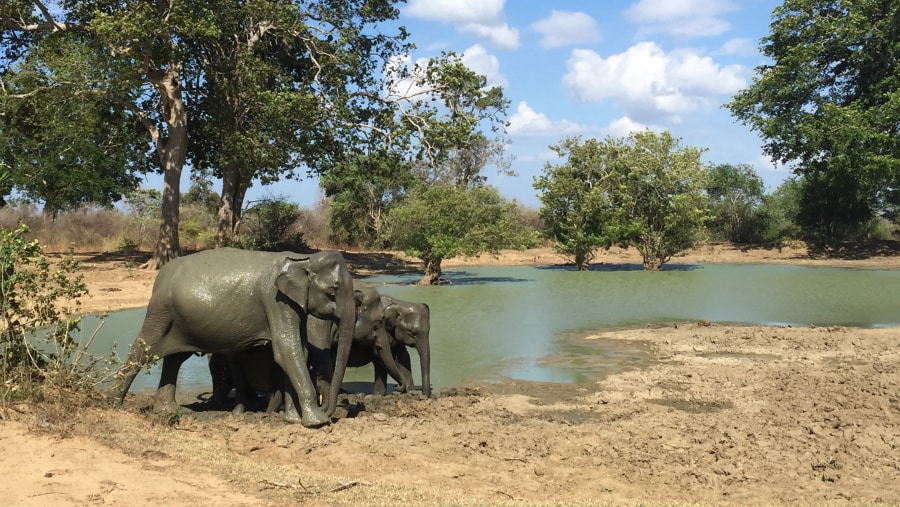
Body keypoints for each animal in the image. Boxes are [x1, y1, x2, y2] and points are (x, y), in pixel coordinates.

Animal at [107, 248, 354, 426]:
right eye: (334, 289)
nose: (330, 412)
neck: (303, 260)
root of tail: (160, 276)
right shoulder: (275, 300)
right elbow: (285, 350)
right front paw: (317, 423)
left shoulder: (292, 305)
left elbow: (299, 350)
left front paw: (293, 421)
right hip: (160, 310)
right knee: (142, 351)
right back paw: (113, 404)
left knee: (175, 359)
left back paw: (168, 411)